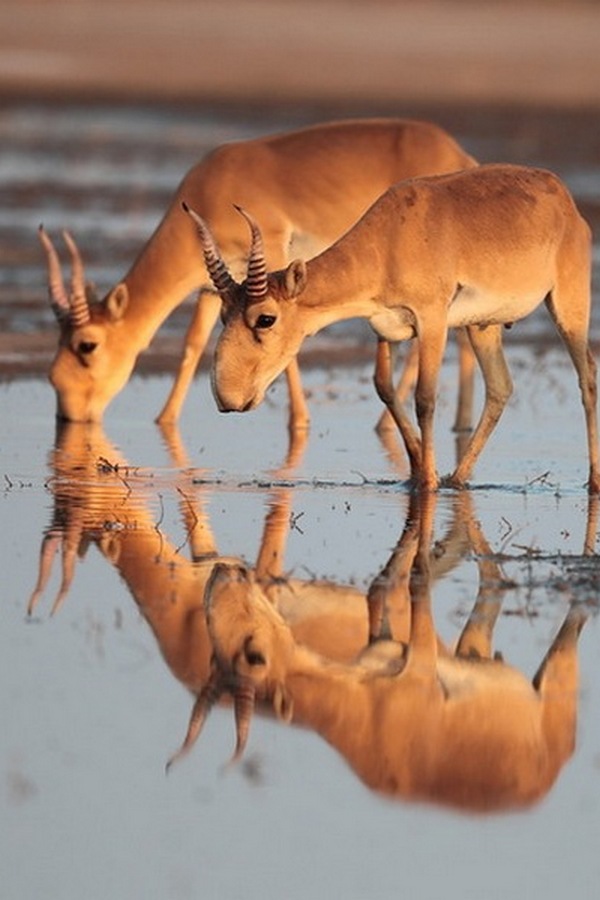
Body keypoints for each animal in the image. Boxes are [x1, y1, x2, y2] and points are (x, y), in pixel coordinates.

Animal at [39, 117, 476, 428]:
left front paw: (300, 422)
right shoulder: (212, 288)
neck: (210, 190)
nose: (68, 415)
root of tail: (461, 156)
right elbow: (192, 345)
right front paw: (164, 420)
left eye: (86, 345)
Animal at [189, 165, 600, 496]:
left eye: (265, 318)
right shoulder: (384, 329)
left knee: (587, 377)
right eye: (223, 314)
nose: (227, 397)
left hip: (568, 307)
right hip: (483, 326)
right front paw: (417, 472)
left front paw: (427, 482)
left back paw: (592, 482)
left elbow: (425, 398)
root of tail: (565, 202)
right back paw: (457, 478)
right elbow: (383, 387)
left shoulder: (432, 321)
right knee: (501, 388)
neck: (389, 241)